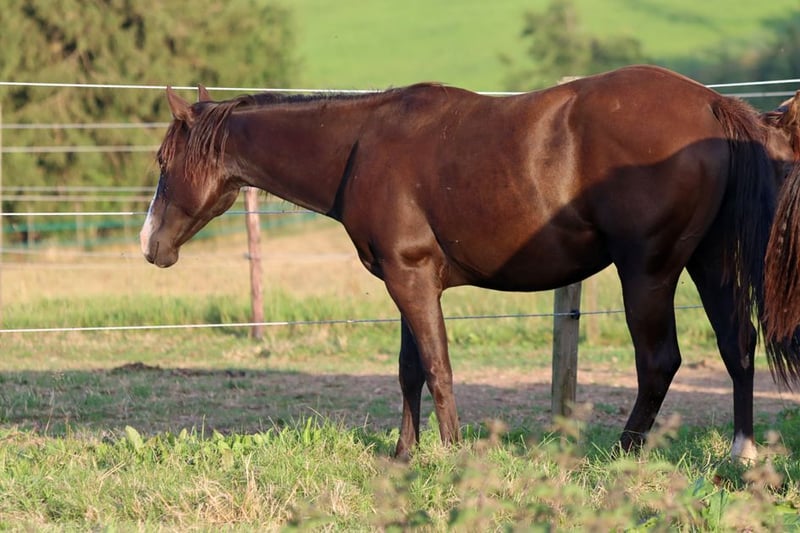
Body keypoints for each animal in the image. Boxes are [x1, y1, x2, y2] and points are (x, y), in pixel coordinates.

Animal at [140, 65, 800, 461]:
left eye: (162, 161)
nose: (150, 245)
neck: (361, 145)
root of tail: (712, 105)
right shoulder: (407, 280)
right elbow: (409, 370)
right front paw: (405, 456)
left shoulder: (410, 279)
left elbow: (437, 368)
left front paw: (452, 454)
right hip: (710, 264)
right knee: (737, 346)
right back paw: (742, 451)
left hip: (648, 272)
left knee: (660, 362)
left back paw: (621, 452)